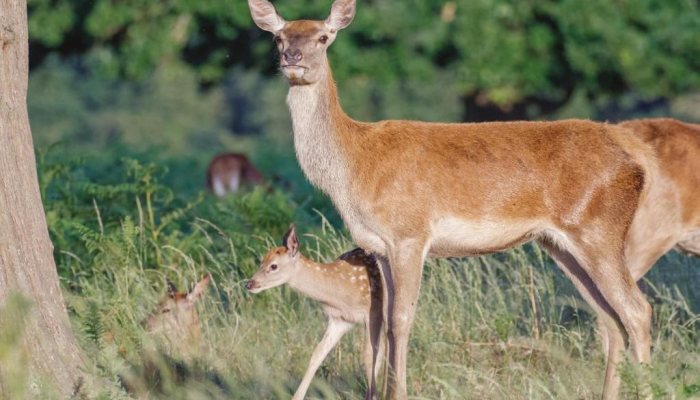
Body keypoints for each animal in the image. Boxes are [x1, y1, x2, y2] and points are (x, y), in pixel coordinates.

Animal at [246, 225, 385, 400]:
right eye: (261, 261)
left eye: (274, 266)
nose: (249, 284)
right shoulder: (340, 319)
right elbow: (318, 353)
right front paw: (297, 396)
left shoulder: (373, 312)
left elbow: (369, 356)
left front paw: (373, 395)